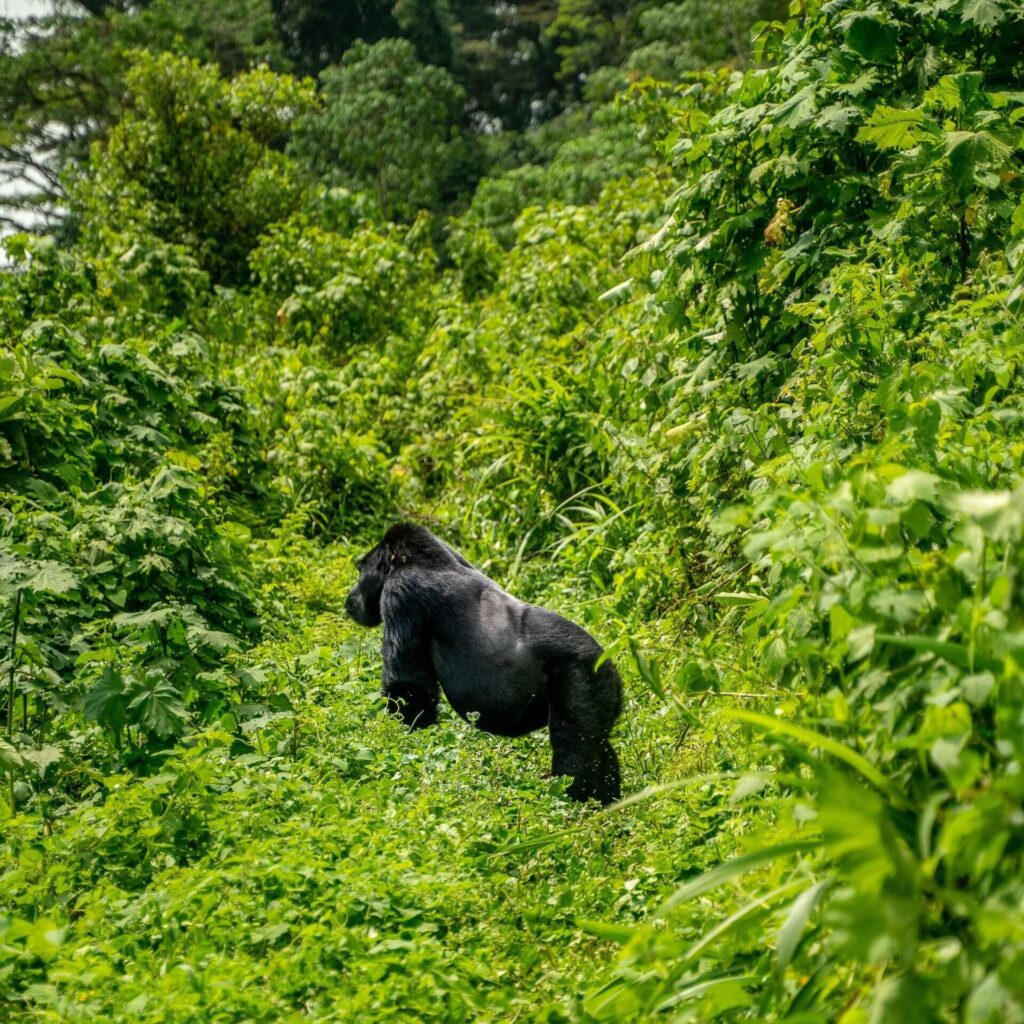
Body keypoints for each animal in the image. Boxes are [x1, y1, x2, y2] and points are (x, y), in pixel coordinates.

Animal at [344, 524, 618, 802]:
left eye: (359, 570)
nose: (350, 597)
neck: (423, 560)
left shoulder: (401, 593)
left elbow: (408, 687)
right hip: (602, 681)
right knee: (600, 746)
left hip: (581, 672)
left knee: (574, 749)